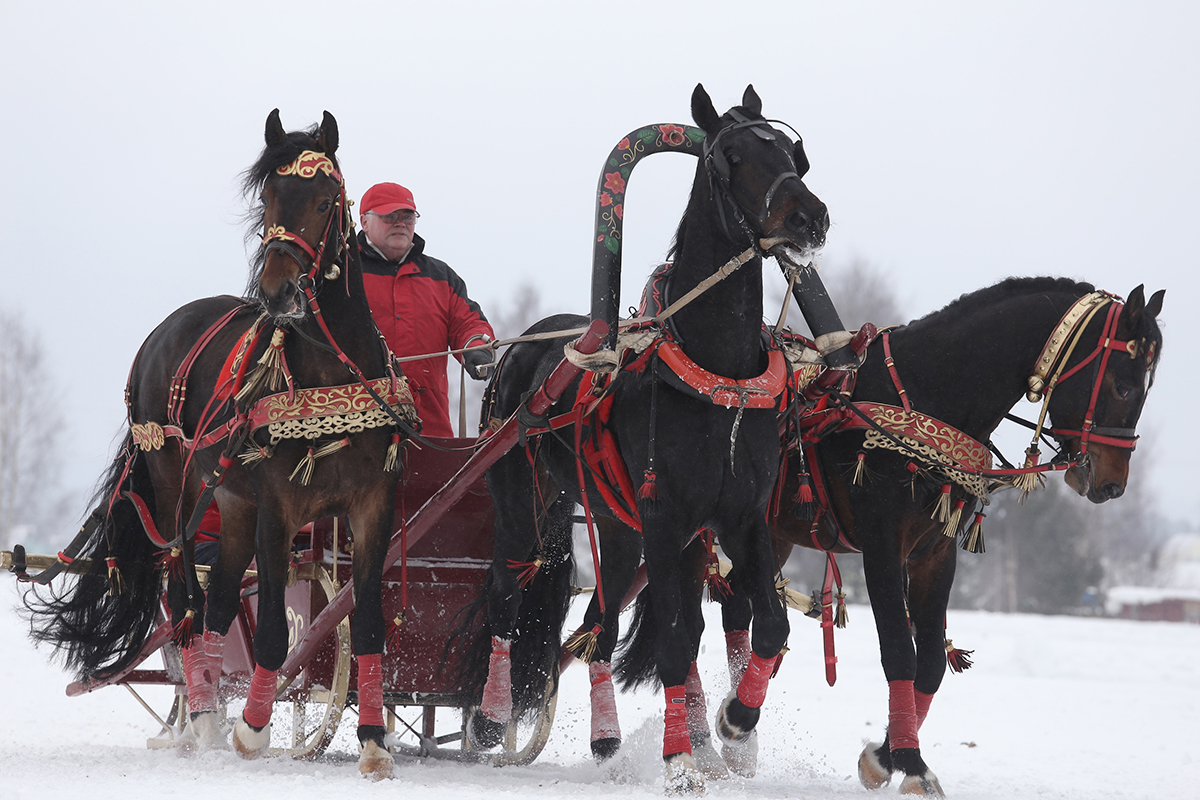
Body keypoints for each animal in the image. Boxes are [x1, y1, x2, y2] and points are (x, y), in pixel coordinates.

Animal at [27, 112, 412, 782]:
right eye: (268, 199)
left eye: (324, 200)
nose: (277, 289)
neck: (329, 376)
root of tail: (165, 329)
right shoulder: (280, 509)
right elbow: (275, 633)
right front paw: (252, 730)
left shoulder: (371, 507)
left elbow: (365, 623)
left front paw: (373, 742)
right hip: (177, 493)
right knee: (186, 596)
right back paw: (204, 717)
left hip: (230, 501)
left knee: (220, 600)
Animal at [456, 82, 825, 796]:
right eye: (732, 156)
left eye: (794, 154)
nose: (809, 217)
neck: (720, 378)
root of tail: (532, 344)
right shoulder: (665, 515)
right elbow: (678, 640)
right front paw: (681, 760)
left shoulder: (741, 518)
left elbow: (769, 624)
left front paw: (736, 725)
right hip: (525, 500)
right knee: (507, 593)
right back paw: (488, 720)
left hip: (616, 528)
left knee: (598, 626)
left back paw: (606, 739)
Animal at [619, 275, 1161, 796]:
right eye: (1123, 385)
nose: (1110, 483)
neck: (928, 398)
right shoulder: (882, 545)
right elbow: (900, 651)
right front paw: (912, 763)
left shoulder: (934, 554)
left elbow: (932, 664)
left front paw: (885, 756)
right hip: (693, 535)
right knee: (689, 627)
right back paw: (707, 739)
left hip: (770, 536)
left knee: (737, 611)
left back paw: (738, 727)